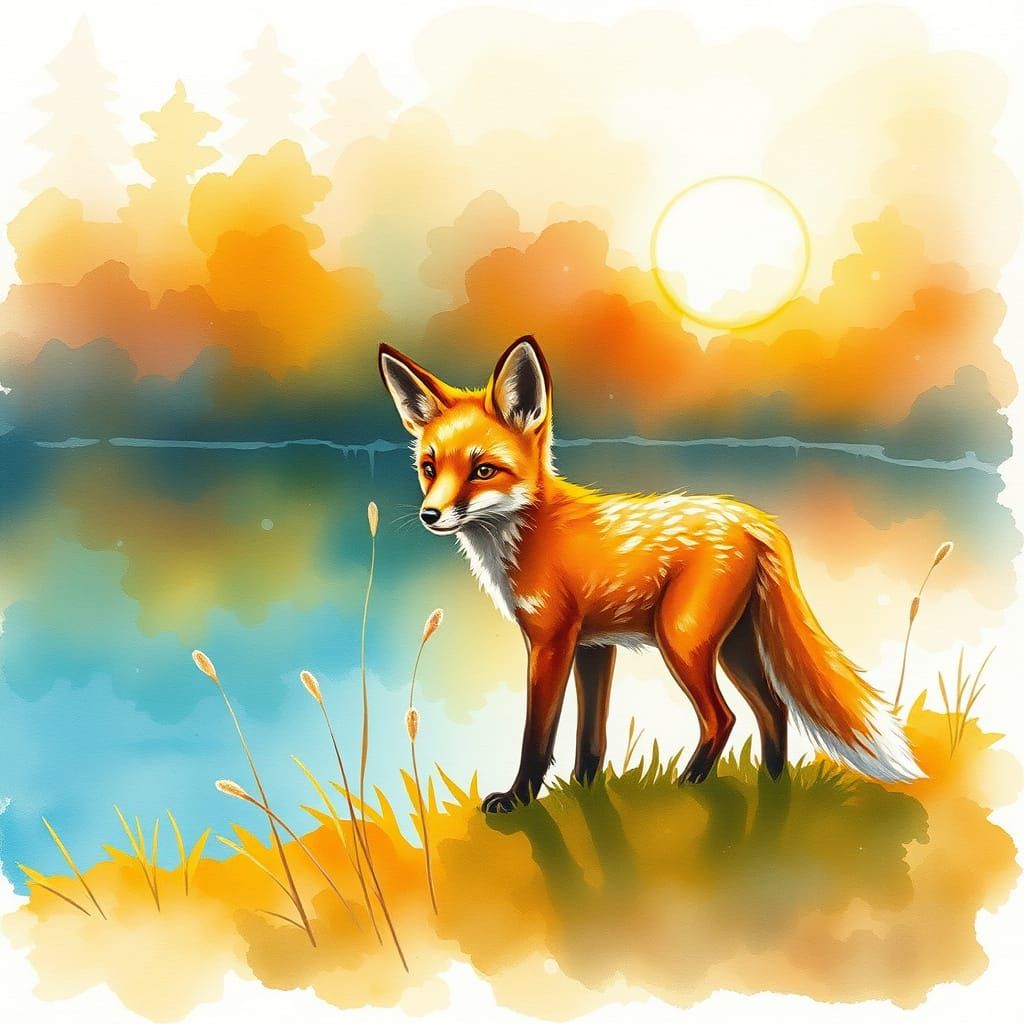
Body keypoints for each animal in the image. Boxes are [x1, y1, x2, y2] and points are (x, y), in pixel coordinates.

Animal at [379, 336, 923, 813]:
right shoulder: (594, 646)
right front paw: (586, 795)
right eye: (430, 467)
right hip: (735, 646)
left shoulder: (551, 642)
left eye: (483, 471)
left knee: (723, 717)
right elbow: (590, 737)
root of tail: (755, 518)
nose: (430, 515)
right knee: (773, 709)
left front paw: (518, 800)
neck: (528, 534)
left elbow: (538, 735)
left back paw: (694, 784)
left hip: (681, 640)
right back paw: (775, 789)